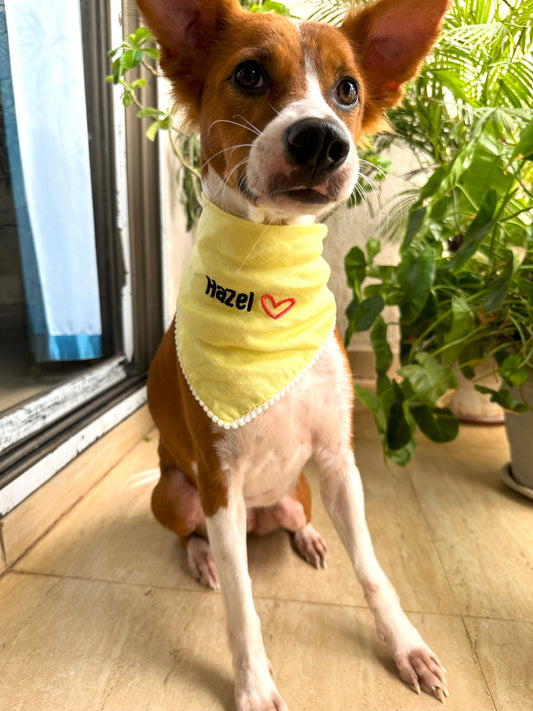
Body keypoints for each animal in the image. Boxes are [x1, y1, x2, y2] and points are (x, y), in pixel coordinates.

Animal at [136, 2, 448, 708]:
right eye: (249, 74)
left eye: (348, 89)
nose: (322, 139)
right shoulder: (218, 481)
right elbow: (243, 605)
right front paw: (253, 684)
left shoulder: (338, 461)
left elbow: (374, 570)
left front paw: (407, 646)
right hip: (175, 495)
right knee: (193, 534)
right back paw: (202, 557)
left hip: (302, 489)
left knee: (293, 516)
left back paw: (305, 535)